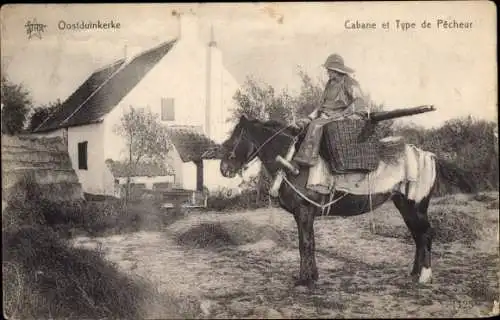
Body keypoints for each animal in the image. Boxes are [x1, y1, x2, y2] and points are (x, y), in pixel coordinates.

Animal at [220, 114, 476, 288]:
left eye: (234, 139)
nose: (224, 169)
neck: (292, 162)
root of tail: (429, 155)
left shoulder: (304, 212)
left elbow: (305, 245)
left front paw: (305, 280)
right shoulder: (305, 215)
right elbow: (310, 244)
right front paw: (312, 277)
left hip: (417, 205)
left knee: (426, 234)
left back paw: (424, 276)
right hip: (404, 205)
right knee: (418, 236)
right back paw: (413, 273)